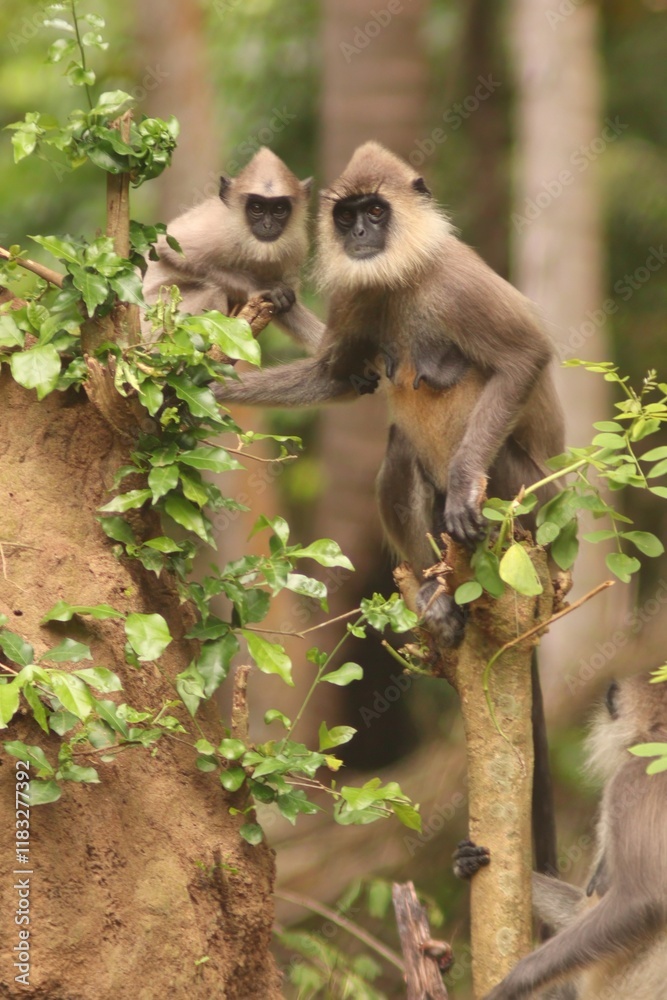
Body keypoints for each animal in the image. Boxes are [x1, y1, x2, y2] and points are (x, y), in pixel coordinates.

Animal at [141, 146, 324, 352]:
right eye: (257, 208)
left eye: (279, 209)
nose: (268, 226)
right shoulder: (219, 230)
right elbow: (167, 250)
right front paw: (262, 286)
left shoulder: (295, 246)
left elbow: (288, 306)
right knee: (213, 291)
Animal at [211, 141, 564, 872]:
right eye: (346, 216)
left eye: (376, 211)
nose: (360, 236)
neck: (401, 278)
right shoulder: (358, 293)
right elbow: (342, 377)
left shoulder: (457, 281)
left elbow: (524, 357)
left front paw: (464, 483)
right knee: (400, 450)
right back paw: (435, 598)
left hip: (534, 498)